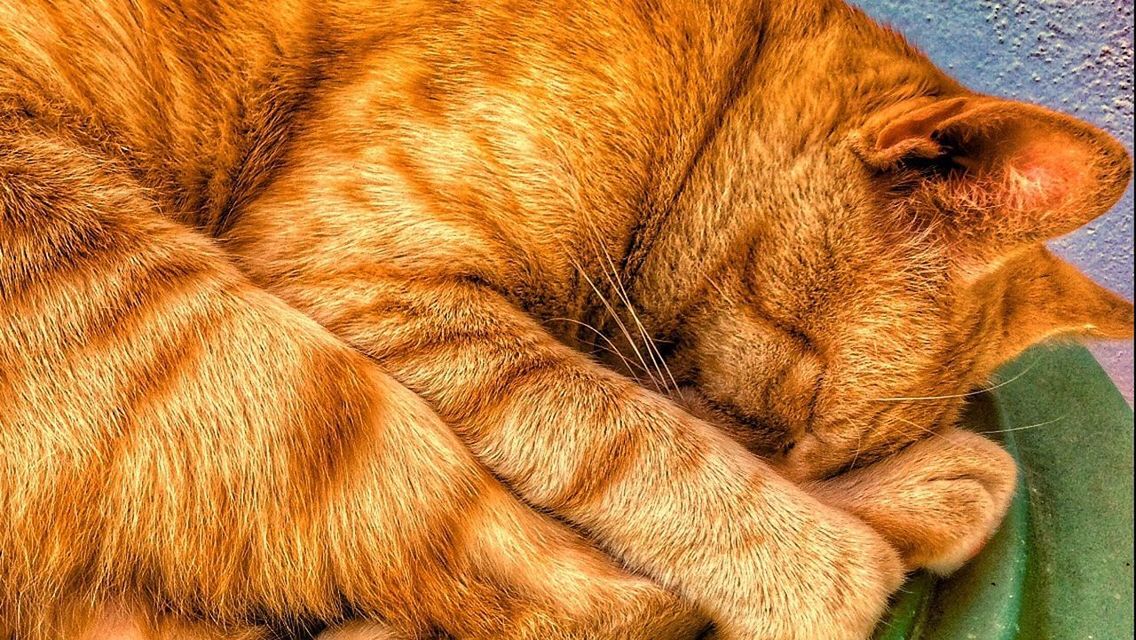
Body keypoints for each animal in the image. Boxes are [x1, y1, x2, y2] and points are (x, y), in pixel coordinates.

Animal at [0, 0, 1131, 636]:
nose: (802, 473)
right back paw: (928, 504)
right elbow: (633, 435)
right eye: (802, 403)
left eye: (818, 438)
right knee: (546, 588)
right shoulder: (359, 268)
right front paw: (815, 560)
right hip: (215, 333)